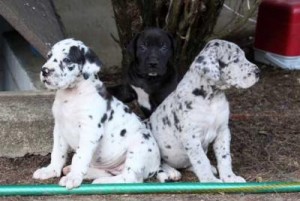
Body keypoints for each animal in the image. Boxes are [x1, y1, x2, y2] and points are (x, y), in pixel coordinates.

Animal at [32, 38, 162, 188]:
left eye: (67, 60)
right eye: (49, 56)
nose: (45, 70)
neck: (72, 96)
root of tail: (156, 164)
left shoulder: (90, 131)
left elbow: (80, 156)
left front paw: (73, 177)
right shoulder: (59, 128)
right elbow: (58, 152)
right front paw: (51, 170)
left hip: (138, 147)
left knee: (130, 178)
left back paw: (102, 182)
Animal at [151, 39, 258, 182]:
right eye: (235, 59)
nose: (258, 72)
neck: (211, 99)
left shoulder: (223, 131)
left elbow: (225, 157)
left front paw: (230, 177)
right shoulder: (191, 137)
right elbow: (201, 161)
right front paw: (210, 181)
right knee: (159, 165)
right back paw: (171, 172)